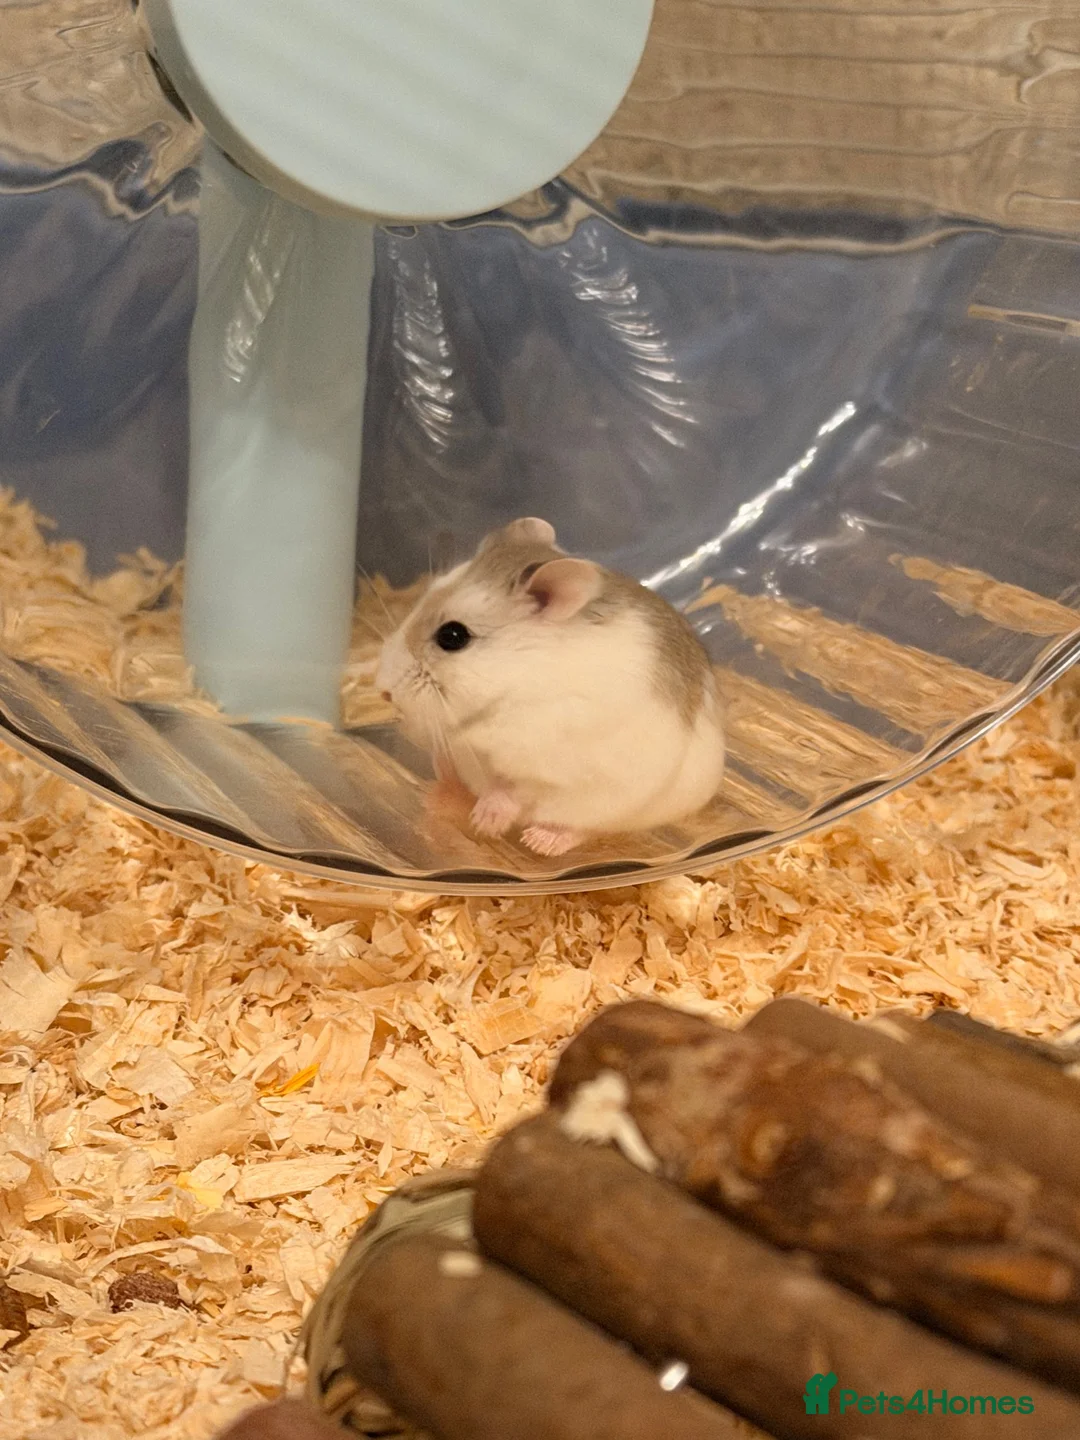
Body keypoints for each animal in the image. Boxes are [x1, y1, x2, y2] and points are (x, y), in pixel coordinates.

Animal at [375, 517, 725, 857]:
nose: (384, 691)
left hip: (616, 808)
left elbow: (515, 789)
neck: (514, 685)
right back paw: (438, 796)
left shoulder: (548, 766)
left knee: (583, 829)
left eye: (452, 636)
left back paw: (539, 841)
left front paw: (488, 822)